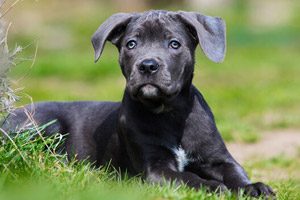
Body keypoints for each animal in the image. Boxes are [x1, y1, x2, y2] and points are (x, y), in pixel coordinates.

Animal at [1, 10, 276, 197]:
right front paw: (213, 186)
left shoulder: (218, 159)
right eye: (131, 44)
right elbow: (188, 177)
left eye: (174, 44)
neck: (170, 113)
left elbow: (235, 173)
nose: (148, 65)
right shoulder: (156, 169)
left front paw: (253, 187)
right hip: (44, 124)